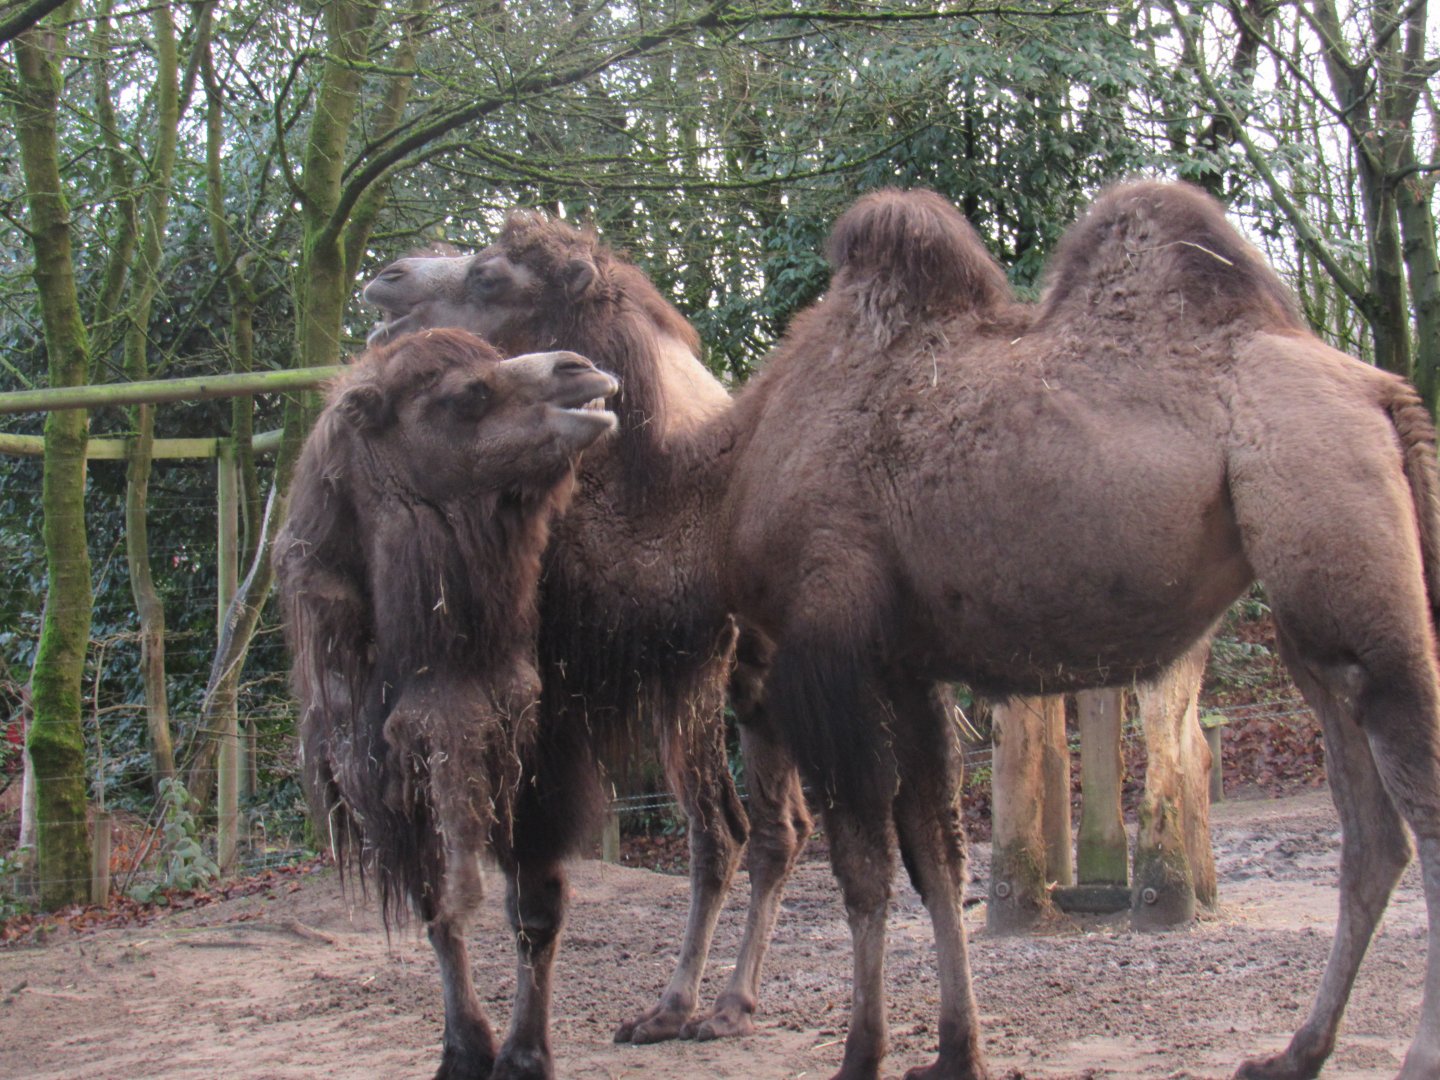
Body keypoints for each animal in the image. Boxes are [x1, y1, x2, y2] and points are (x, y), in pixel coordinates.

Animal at [275, 329, 619, 1079]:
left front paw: (523, 1056)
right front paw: (463, 1048)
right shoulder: (387, 787)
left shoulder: (535, 765)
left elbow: (534, 913)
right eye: (467, 395)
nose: (584, 372)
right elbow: (438, 911)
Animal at [373, 182, 1440, 1080]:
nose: (386, 278)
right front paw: (956, 1051)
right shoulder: (906, 668)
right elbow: (936, 860)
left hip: (1350, 569)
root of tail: (1385, 396)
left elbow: (861, 869)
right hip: (1313, 631)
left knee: (1414, 802)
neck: (722, 481)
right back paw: (1293, 1053)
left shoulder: (827, 656)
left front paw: (861, 1053)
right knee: (1370, 833)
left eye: (491, 274)